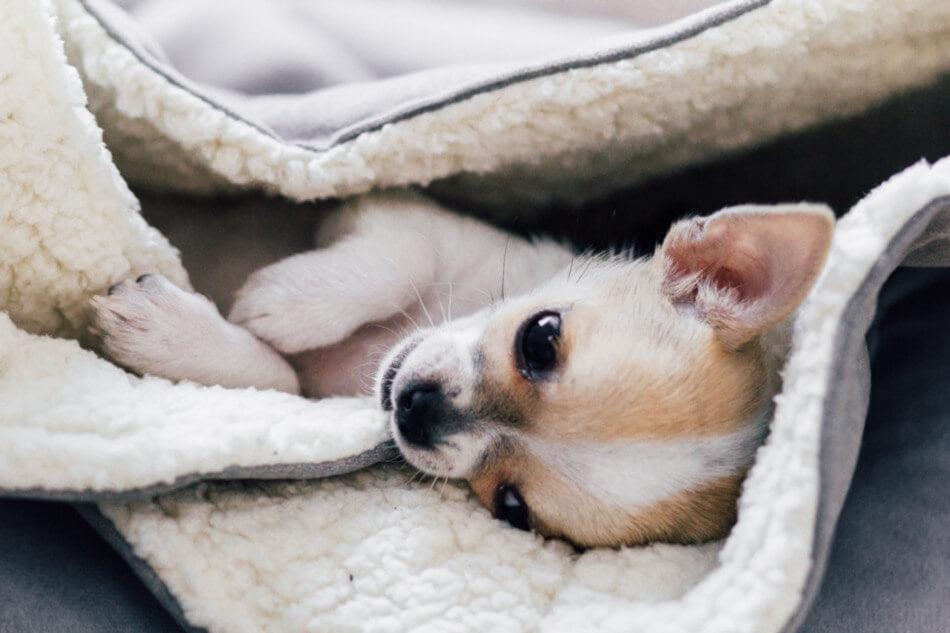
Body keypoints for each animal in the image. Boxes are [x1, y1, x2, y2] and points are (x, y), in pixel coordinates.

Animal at [89, 190, 832, 544]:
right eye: (541, 338)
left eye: (512, 506)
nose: (418, 408)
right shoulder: (395, 212)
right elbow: (404, 254)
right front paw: (290, 302)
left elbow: (283, 378)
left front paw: (174, 330)